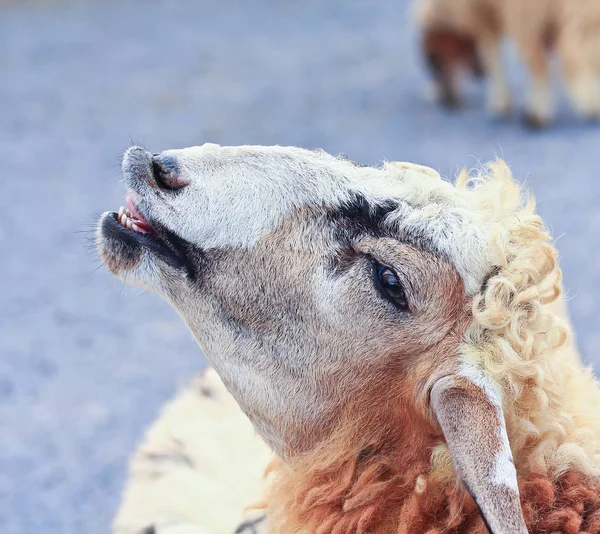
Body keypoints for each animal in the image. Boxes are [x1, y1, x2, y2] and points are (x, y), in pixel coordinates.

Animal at [414, 0, 600, 127]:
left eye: (434, 60)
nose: (447, 102)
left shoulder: (484, 13)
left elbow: (492, 53)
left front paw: (500, 103)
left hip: (525, 15)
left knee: (539, 65)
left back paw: (536, 115)